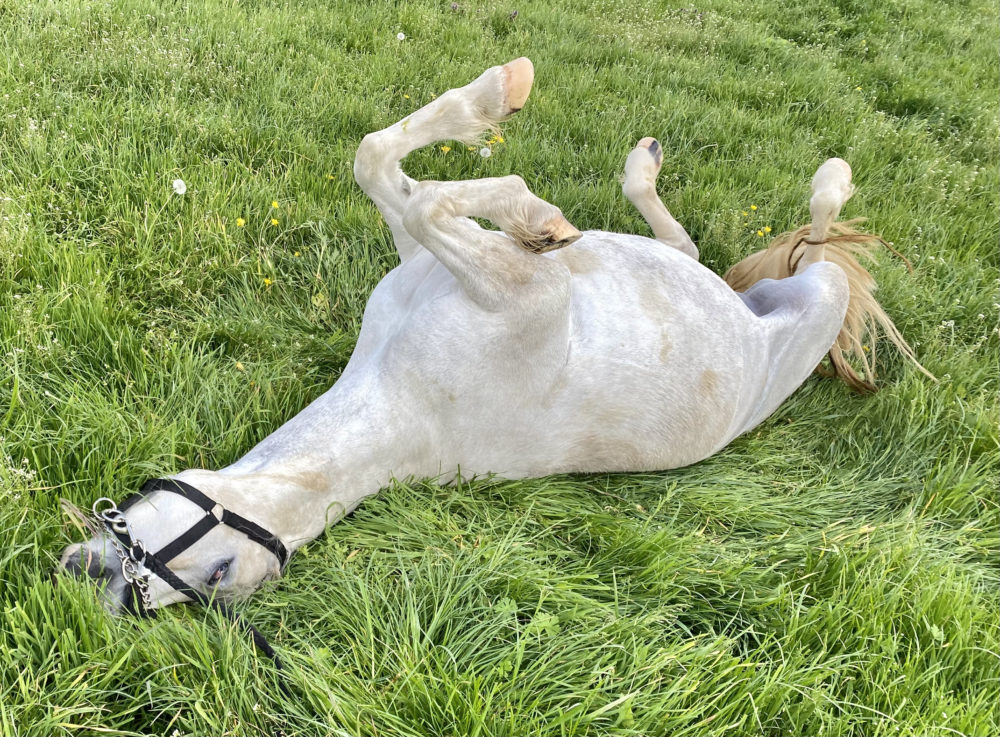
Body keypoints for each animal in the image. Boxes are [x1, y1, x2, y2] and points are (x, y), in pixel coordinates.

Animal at [60, 56, 928, 608]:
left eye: (210, 575)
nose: (83, 576)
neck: (403, 395)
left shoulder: (467, 271)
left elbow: (390, 173)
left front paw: (503, 122)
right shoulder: (472, 272)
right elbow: (404, 184)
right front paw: (530, 201)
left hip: (790, 294)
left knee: (790, 240)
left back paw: (774, 172)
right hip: (775, 293)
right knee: (766, 247)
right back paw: (708, 170)